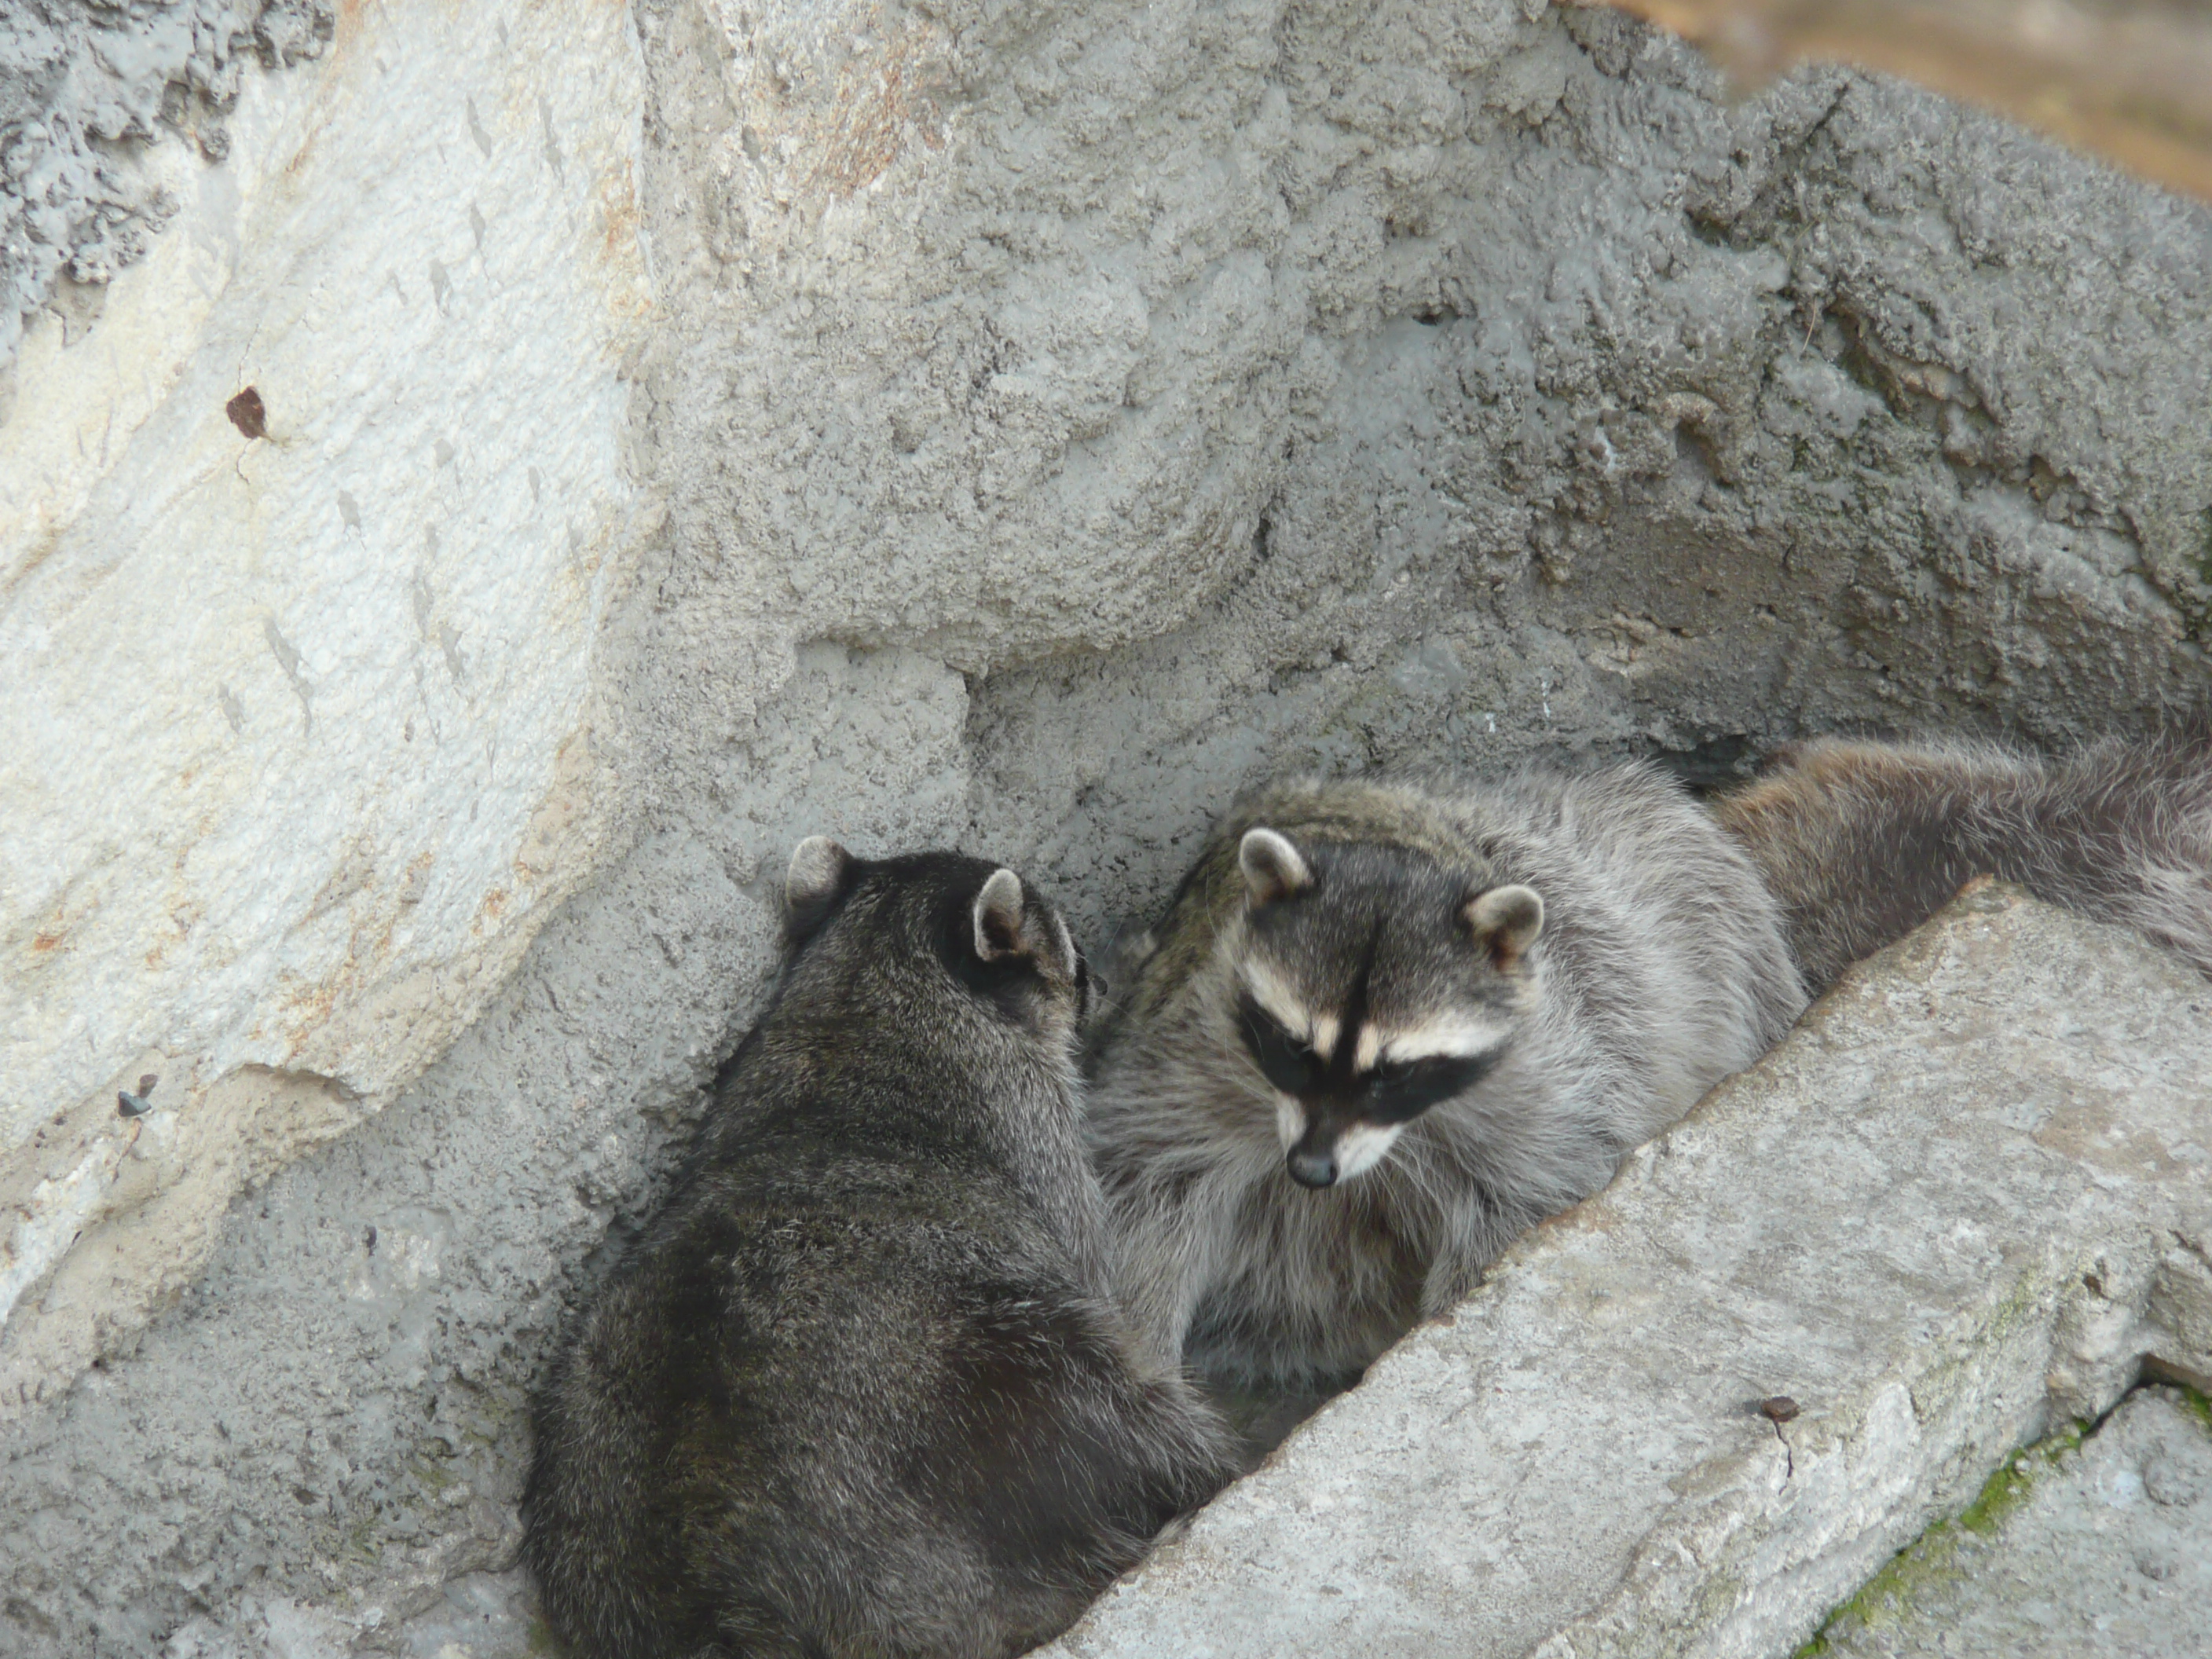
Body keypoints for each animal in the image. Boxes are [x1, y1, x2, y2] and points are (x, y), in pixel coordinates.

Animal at [523, 842, 1237, 1659]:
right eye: (1073, 958)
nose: (1105, 981)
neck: (866, 987)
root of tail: (723, 1598)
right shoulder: (1038, 1135)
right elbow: (1104, 1277)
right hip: (1009, 1385)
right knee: (1122, 1398)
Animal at [1086, 765, 1807, 1387]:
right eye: (1295, 1047)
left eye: (1396, 1072)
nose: (1311, 1170)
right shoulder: (1194, 1045)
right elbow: (1152, 1184)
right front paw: (1143, 1354)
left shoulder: (1555, 1070)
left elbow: (1526, 1199)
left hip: (1713, 925)